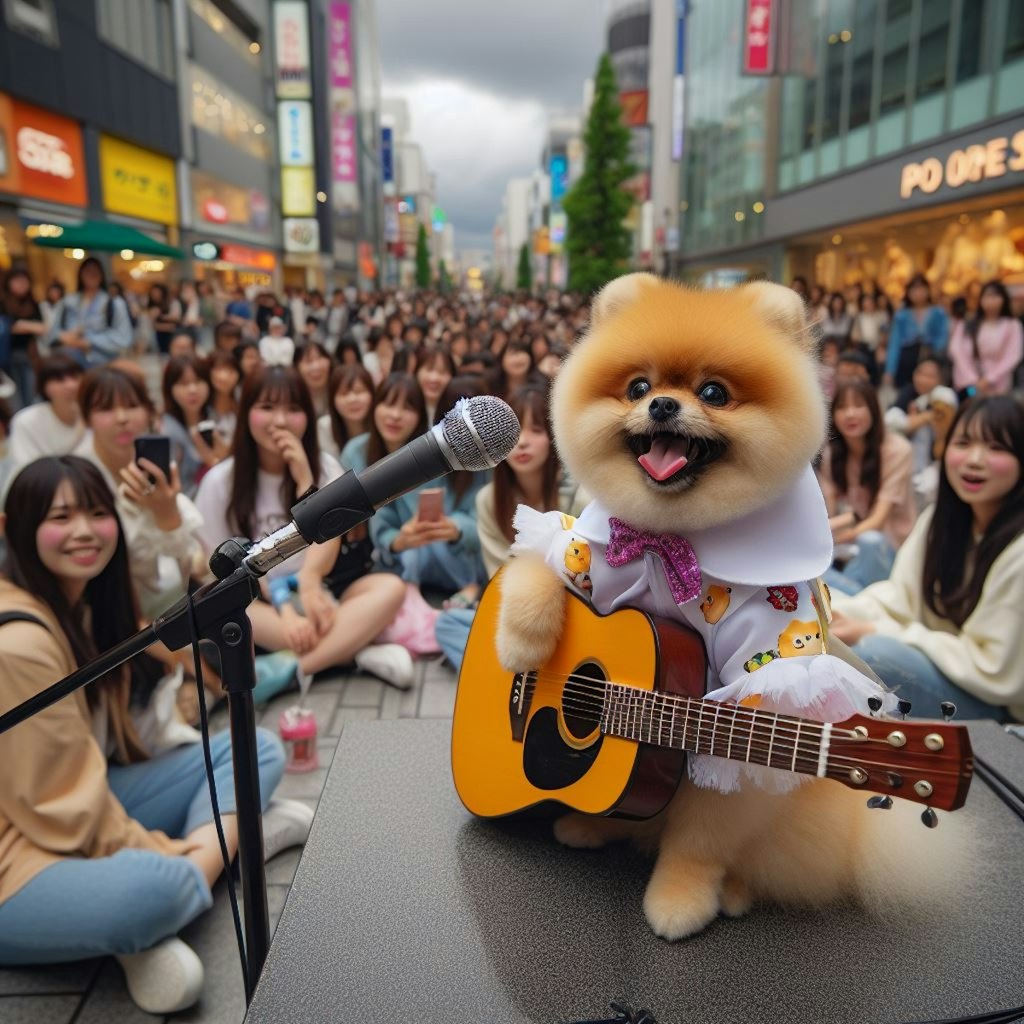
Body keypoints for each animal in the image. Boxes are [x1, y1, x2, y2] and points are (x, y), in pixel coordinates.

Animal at [495, 274, 966, 942]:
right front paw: (521, 653)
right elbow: (537, 560)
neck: (671, 543)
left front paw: (680, 900)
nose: (662, 406)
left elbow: (701, 837)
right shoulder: (585, 549)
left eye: (714, 392)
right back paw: (589, 823)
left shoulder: (746, 707)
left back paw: (736, 890)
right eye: (638, 387)